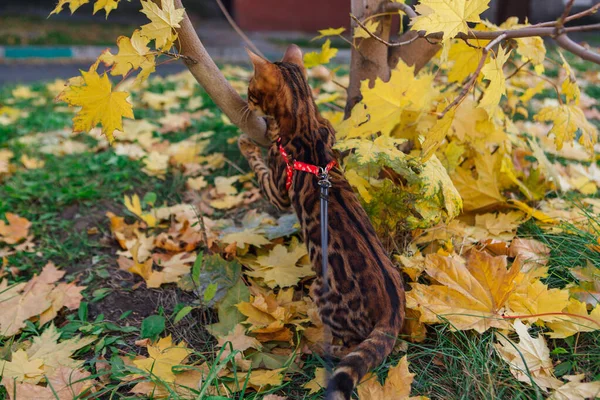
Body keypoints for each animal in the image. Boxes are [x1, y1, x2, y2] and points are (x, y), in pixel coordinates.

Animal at [237, 45, 406, 398]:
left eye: (250, 89)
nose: (245, 100)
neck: (306, 116)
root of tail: (393, 311)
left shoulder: (278, 189)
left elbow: (259, 167)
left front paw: (246, 141)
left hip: (322, 291)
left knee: (348, 344)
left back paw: (315, 346)